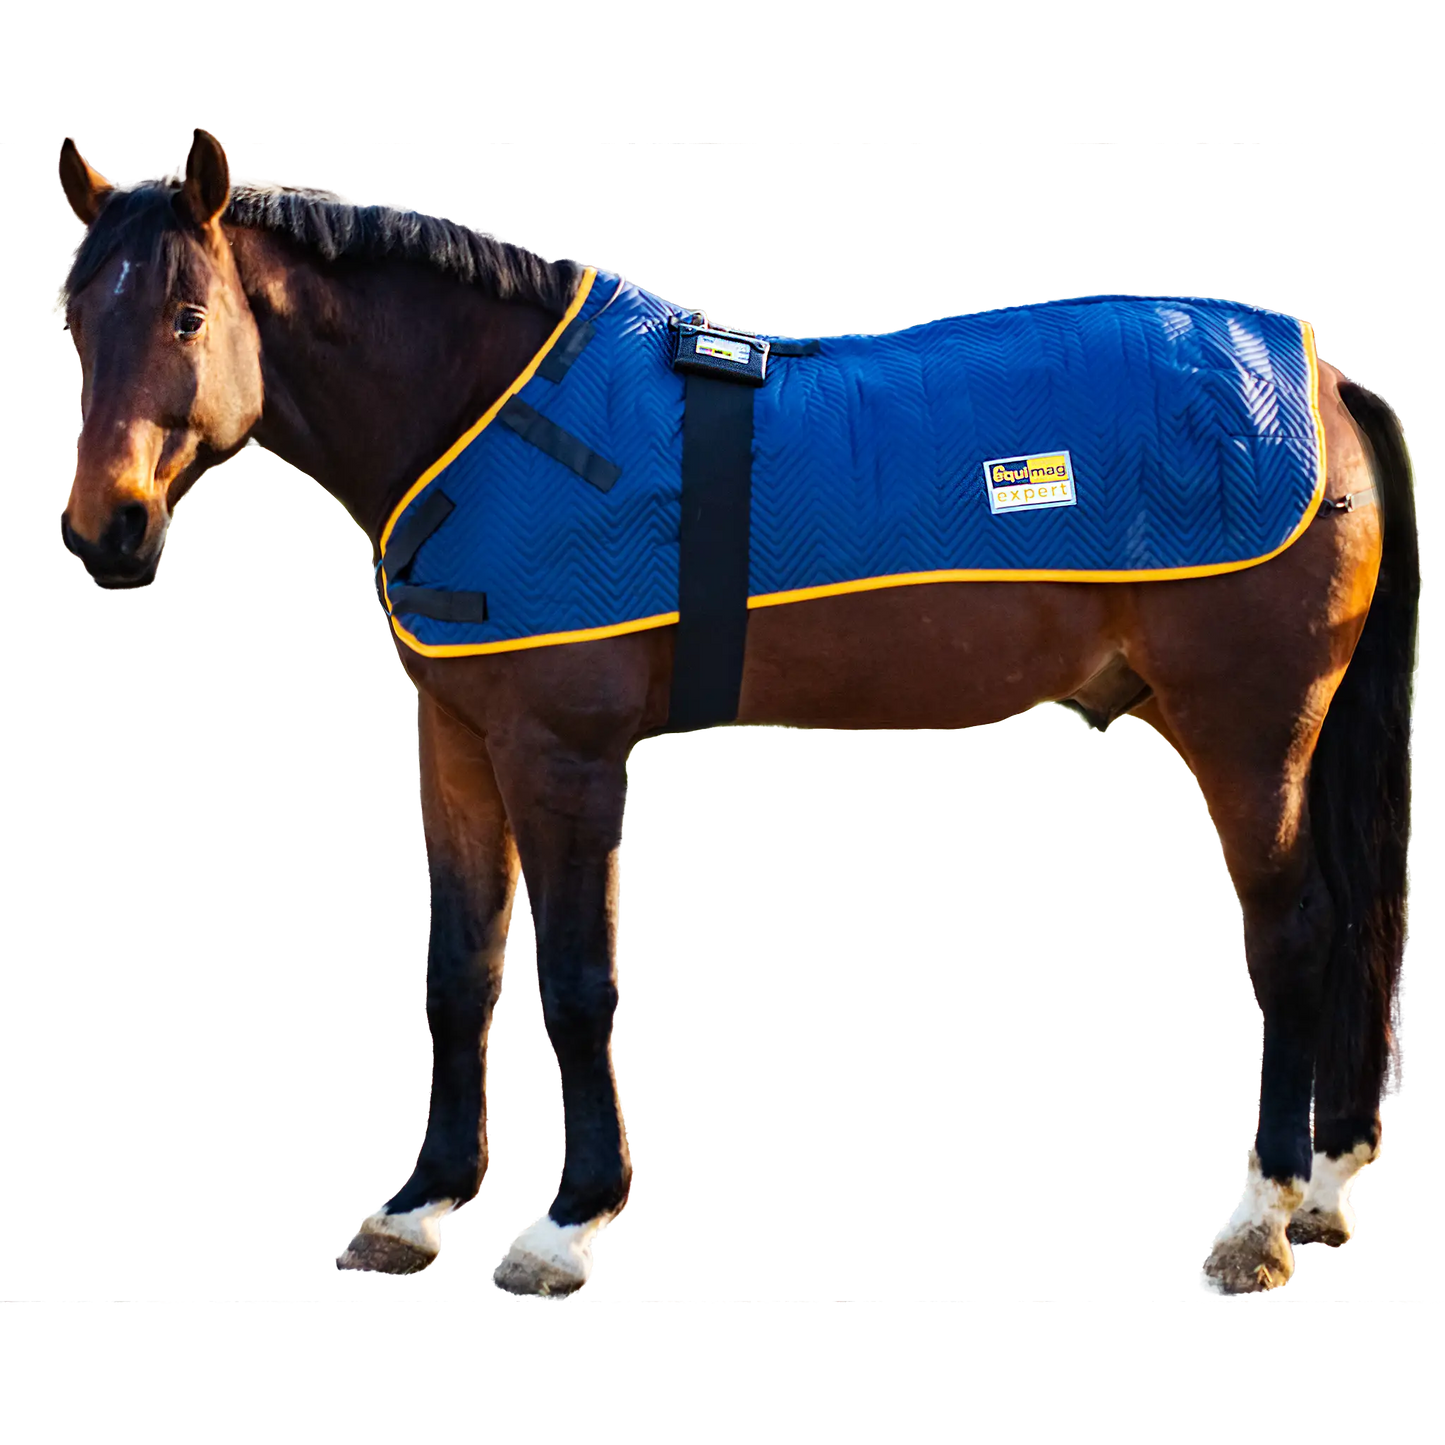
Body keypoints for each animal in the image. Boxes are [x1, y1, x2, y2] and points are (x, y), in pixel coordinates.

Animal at [52, 127, 1420, 1301]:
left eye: (186, 313)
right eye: (71, 321)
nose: (104, 531)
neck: (484, 414)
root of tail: (1323, 376)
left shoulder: (566, 754)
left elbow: (575, 980)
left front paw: (567, 1221)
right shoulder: (453, 740)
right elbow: (459, 968)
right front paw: (416, 1206)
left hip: (1245, 730)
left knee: (1291, 932)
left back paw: (1257, 1218)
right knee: (1342, 921)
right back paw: (1326, 1186)